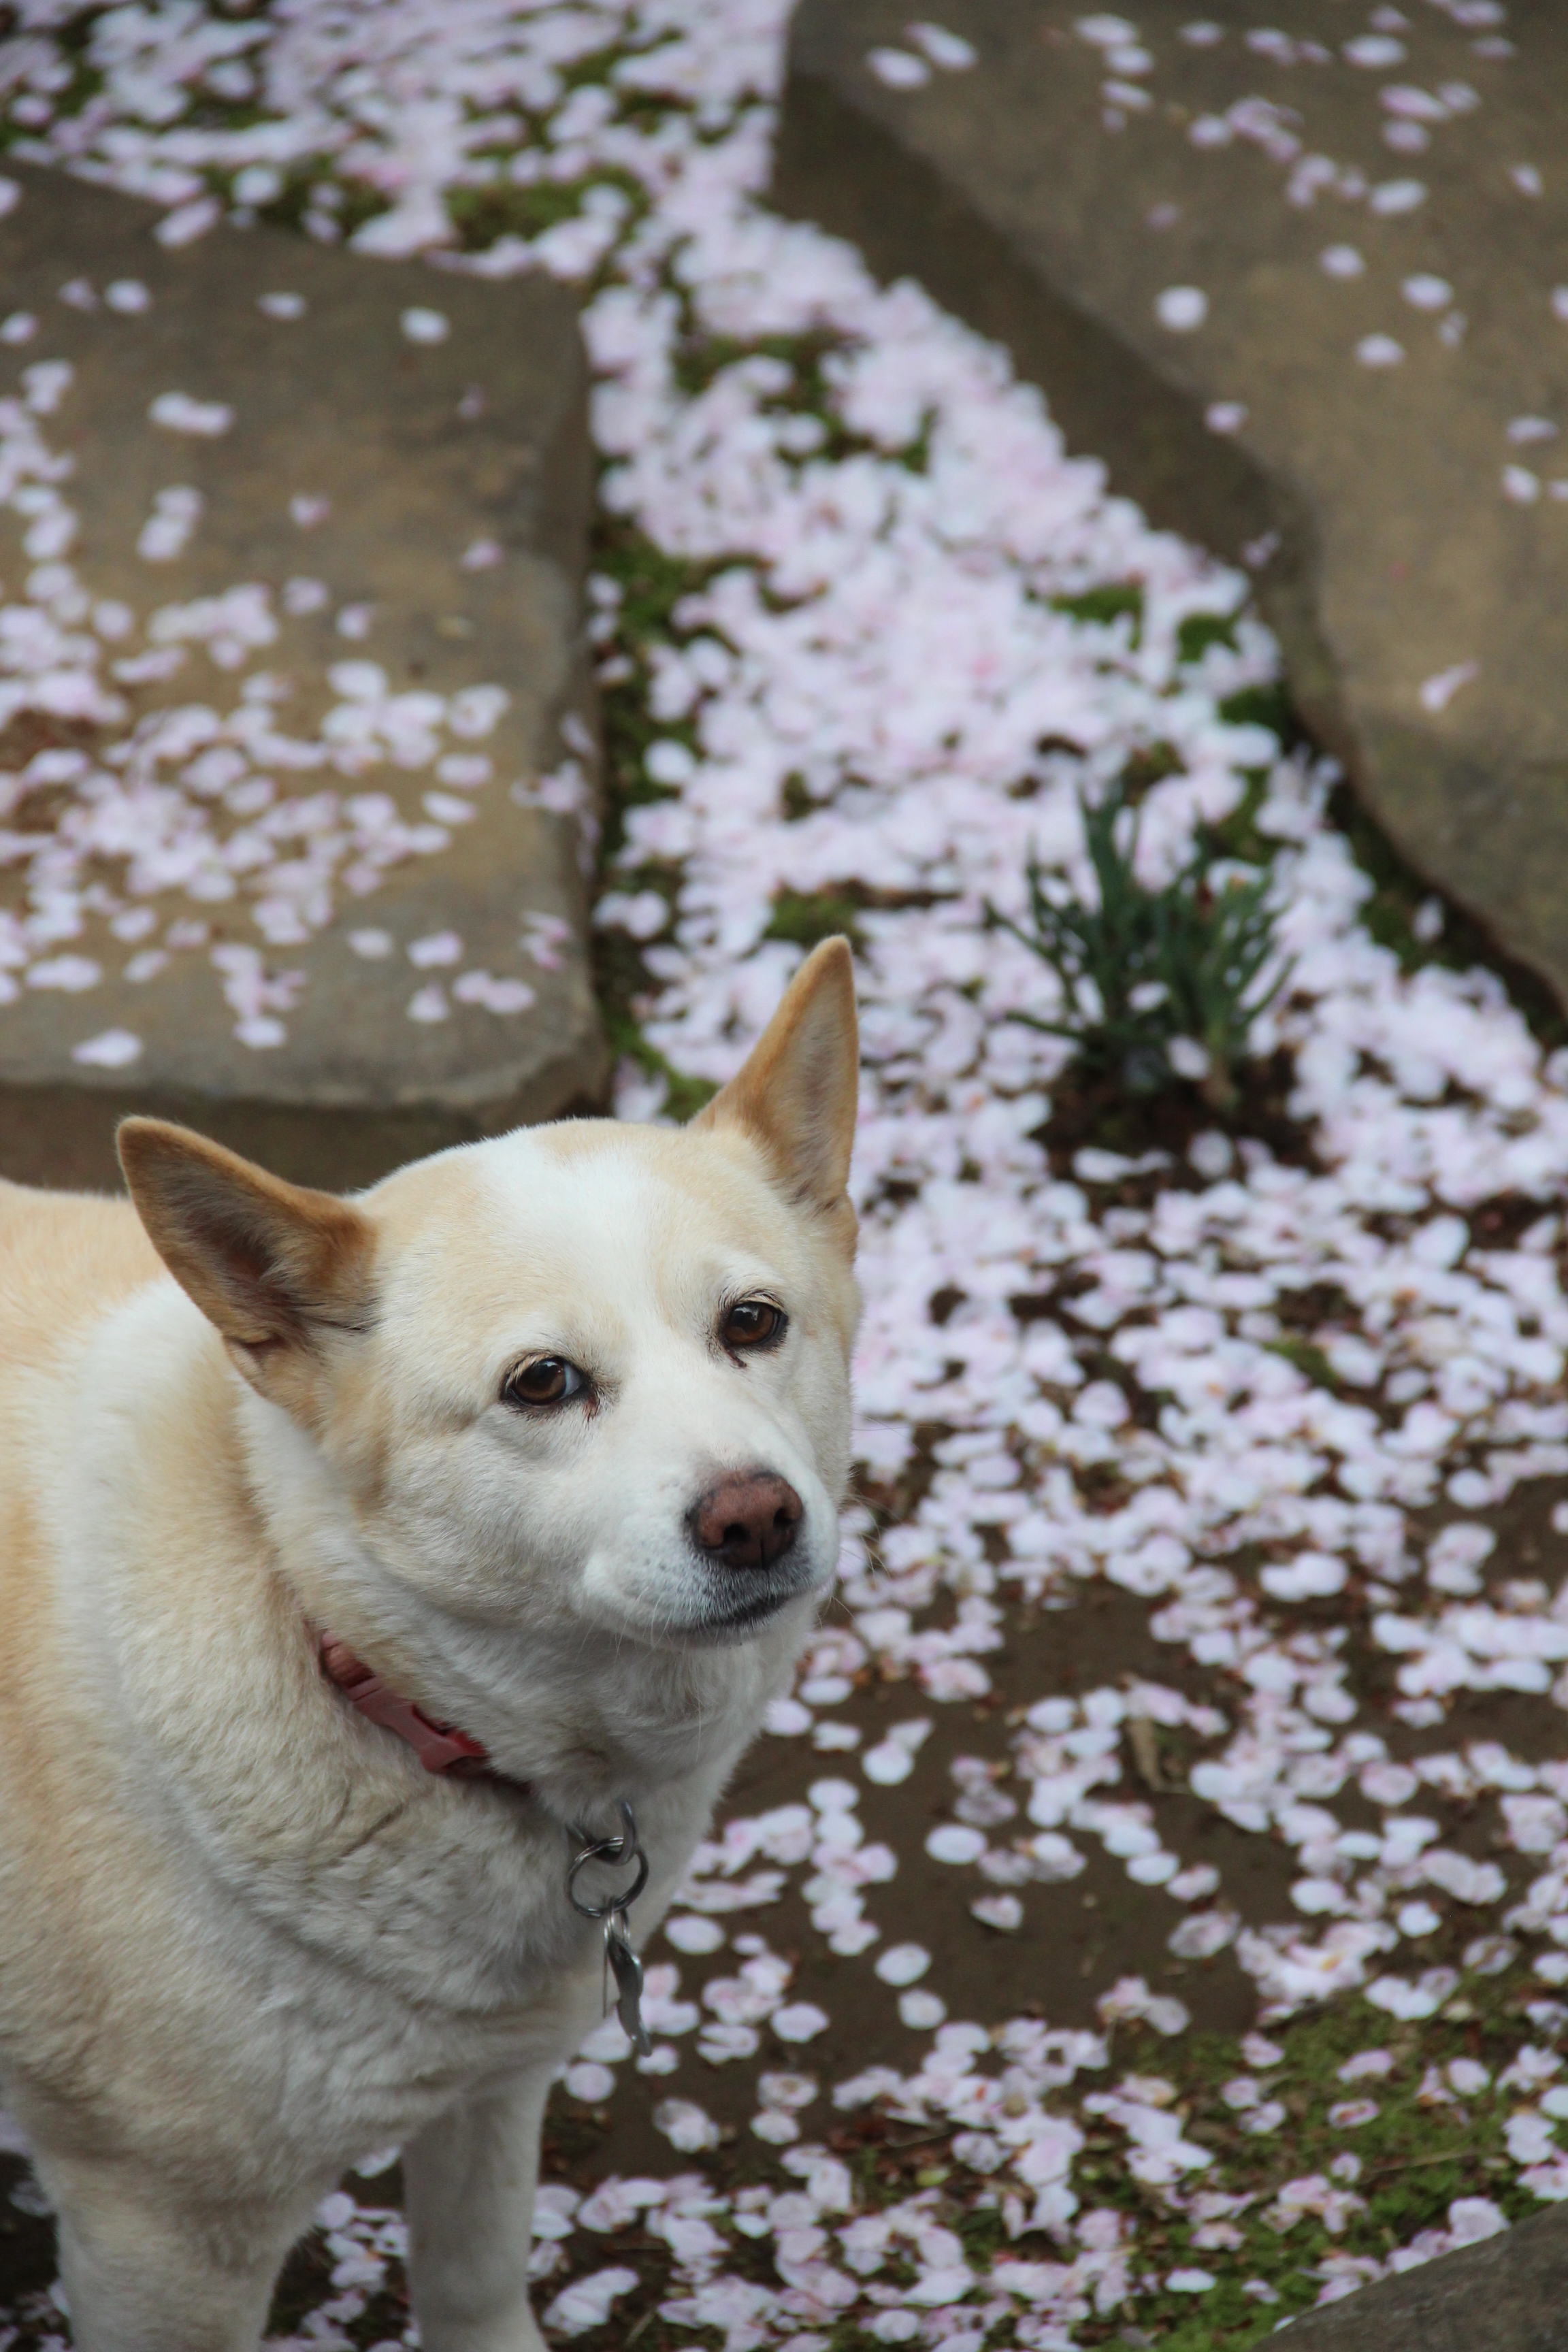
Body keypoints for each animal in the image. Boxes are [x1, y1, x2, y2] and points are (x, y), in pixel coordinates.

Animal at [0, 936, 860, 2352]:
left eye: (751, 1322)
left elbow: (472, 2279)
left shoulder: (487, 2090)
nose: (755, 1518)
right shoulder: (163, 2234)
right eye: (542, 1383)